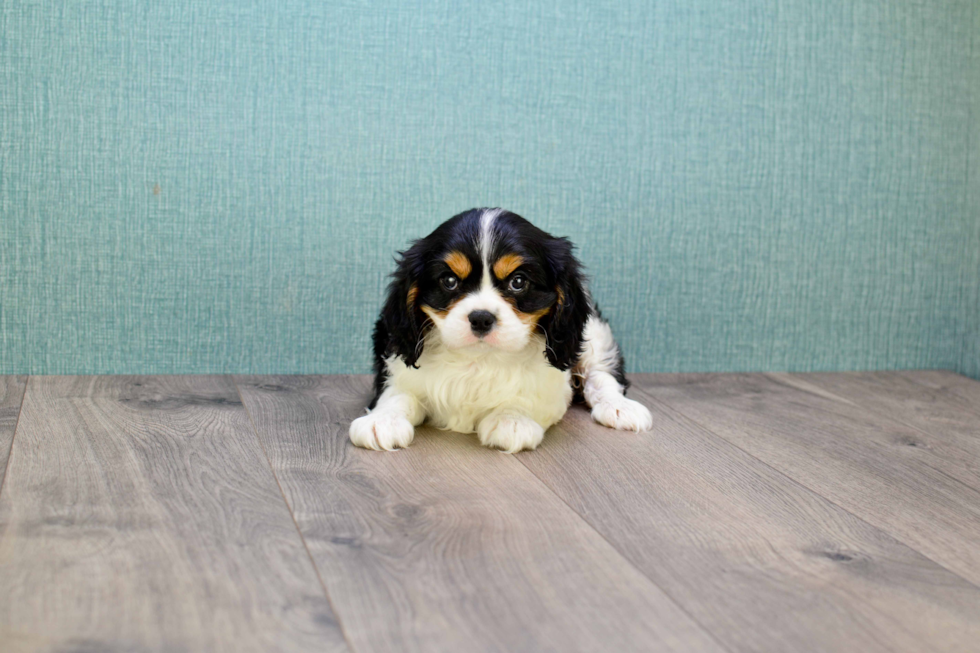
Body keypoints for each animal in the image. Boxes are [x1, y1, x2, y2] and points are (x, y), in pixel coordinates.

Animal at [350, 209, 652, 454]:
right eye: (449, 281)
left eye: (518, 282)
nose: (481, 318)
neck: (479, 357)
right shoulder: (396, 360)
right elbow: (397, 393)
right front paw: (382, 420)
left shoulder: (553, 386)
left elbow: (529, 396)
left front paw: (511, 419)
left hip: (594, 335)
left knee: (602, 372)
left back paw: (619, 407)